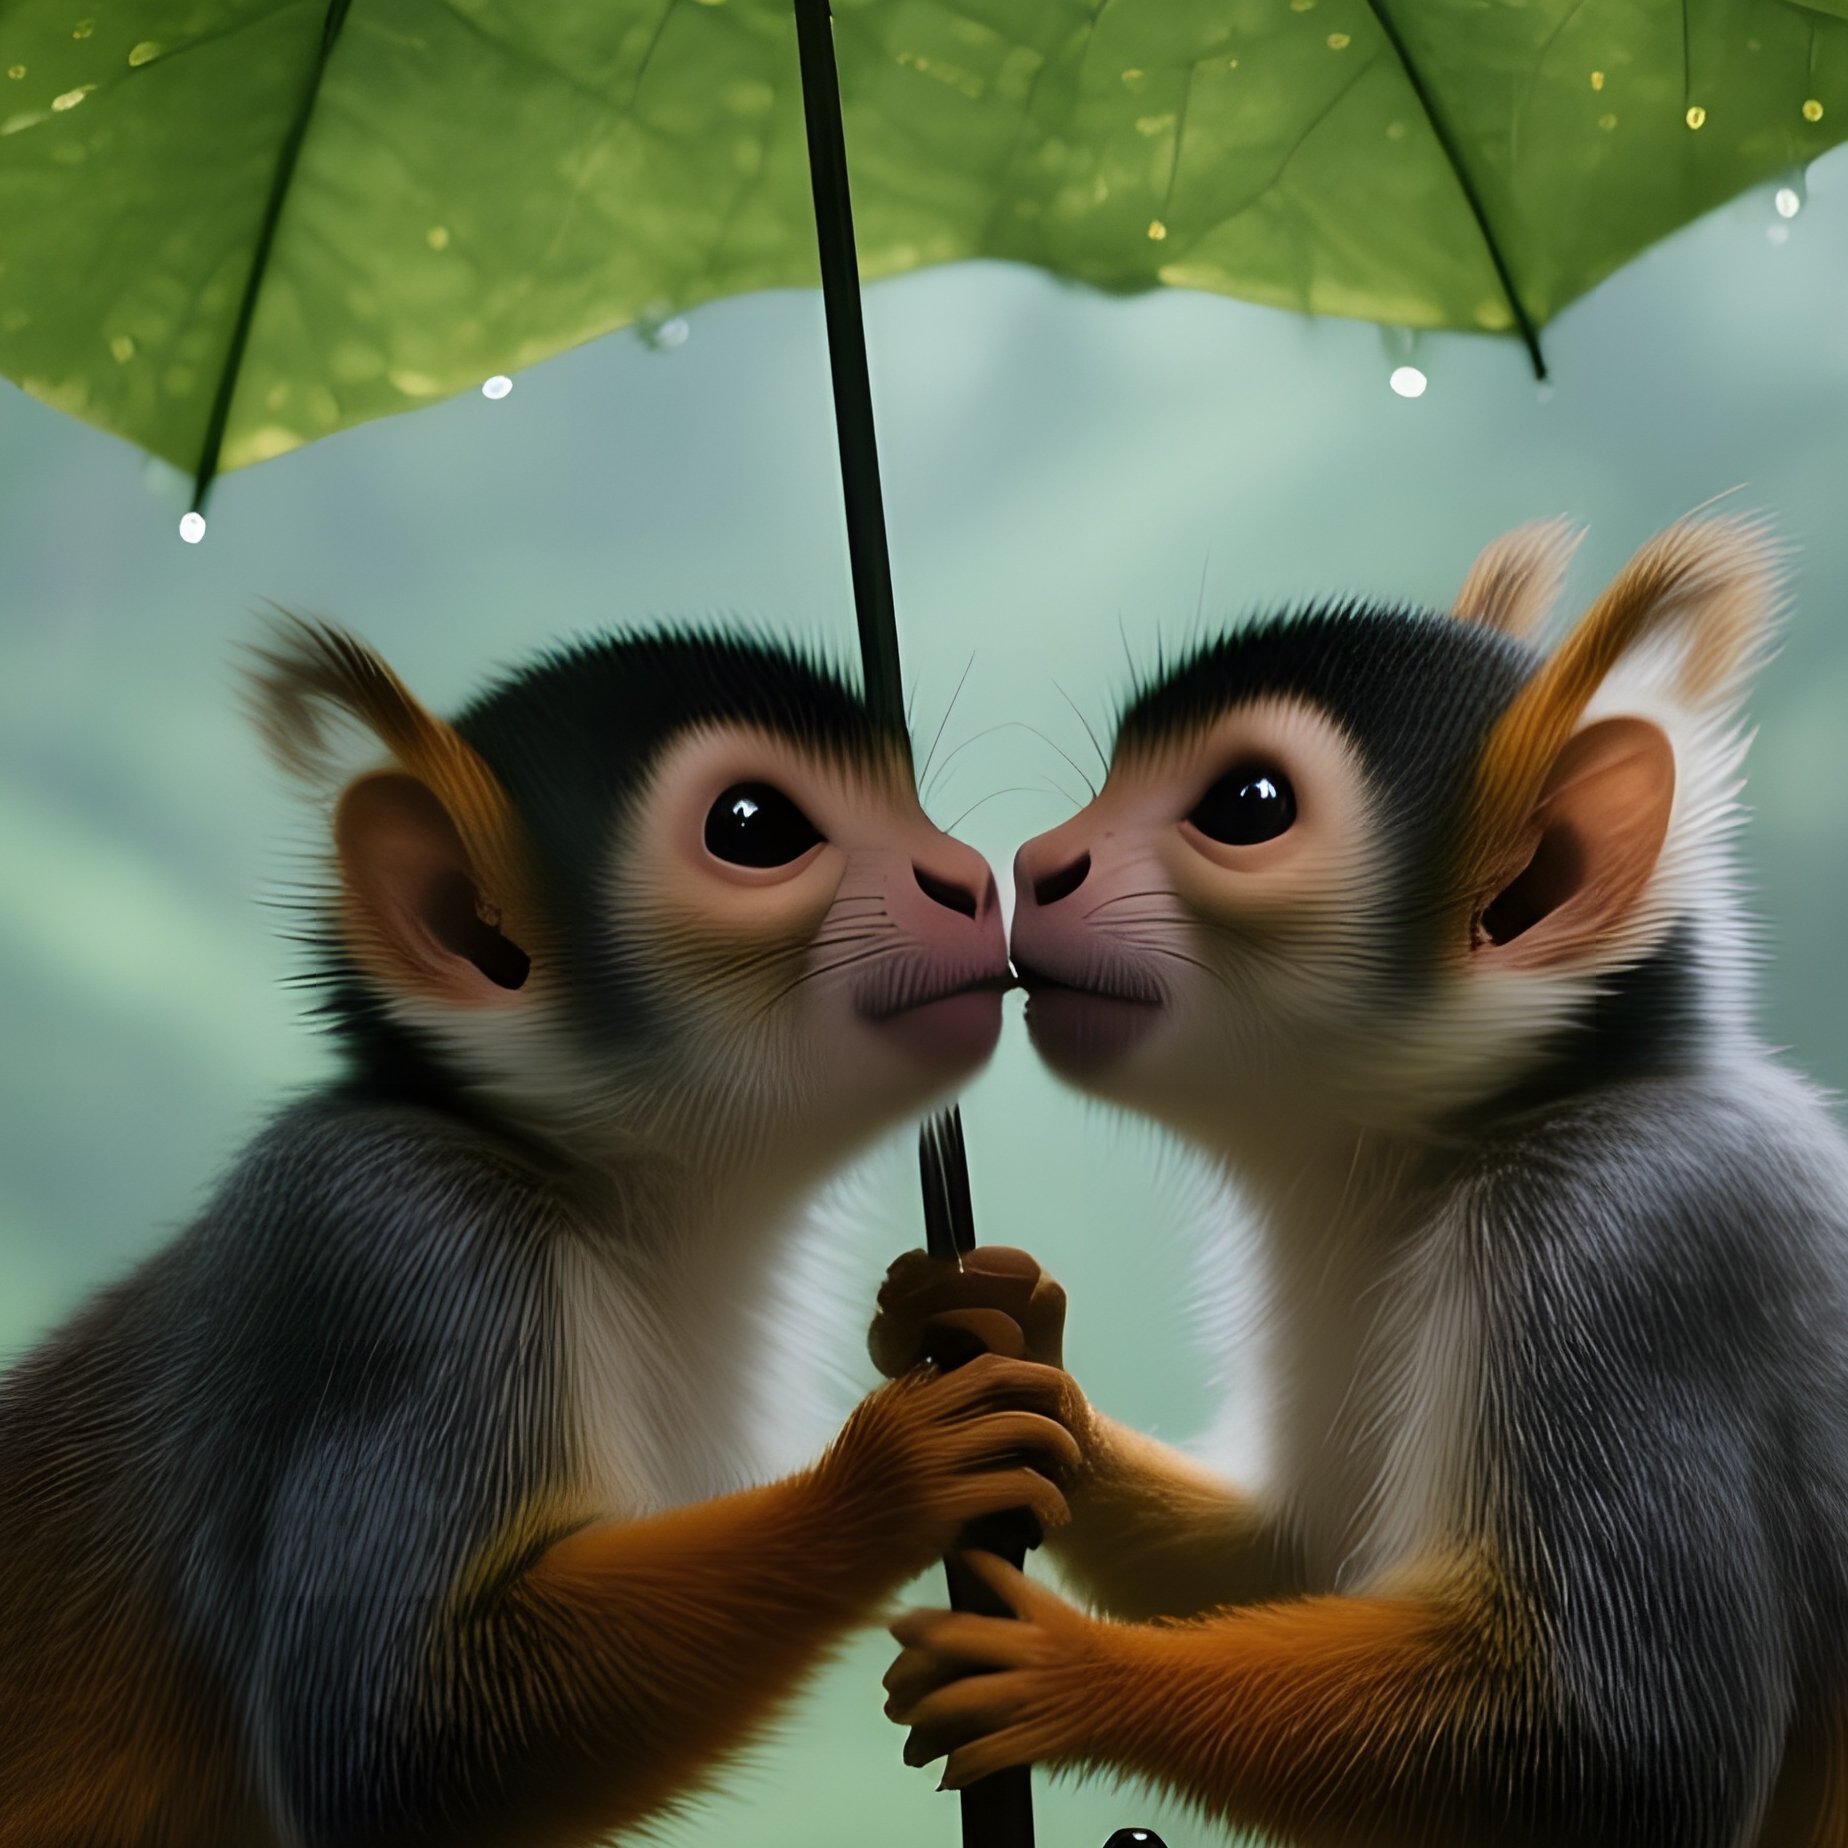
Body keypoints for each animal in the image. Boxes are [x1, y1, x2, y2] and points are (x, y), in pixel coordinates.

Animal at [0, 618, 1084, 1848]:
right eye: (753, 826)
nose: (966, 881)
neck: (589, 1186)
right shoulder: (404, 1248)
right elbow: (397, 1753)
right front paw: (896, 1475)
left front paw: (982, 1312)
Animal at [870, 514, 1848, 1848]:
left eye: (1249, 804)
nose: (1038, 862)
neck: (1457, 1140)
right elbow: (1289, 1567)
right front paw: (1011, 1367)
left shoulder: (1625, 1245)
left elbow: (1626, 1755)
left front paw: (1067, 1675)